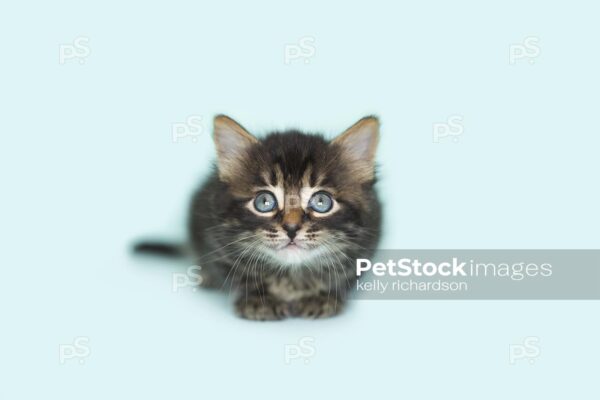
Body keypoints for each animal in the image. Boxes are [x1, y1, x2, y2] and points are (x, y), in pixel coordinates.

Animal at [137, 115, 380, 318]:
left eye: (321, 202)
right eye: (264, 202)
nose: (291, 228)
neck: (291, 276)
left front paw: (321, 298)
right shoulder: (216, 241)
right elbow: (241, 276)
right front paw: (259, 300)